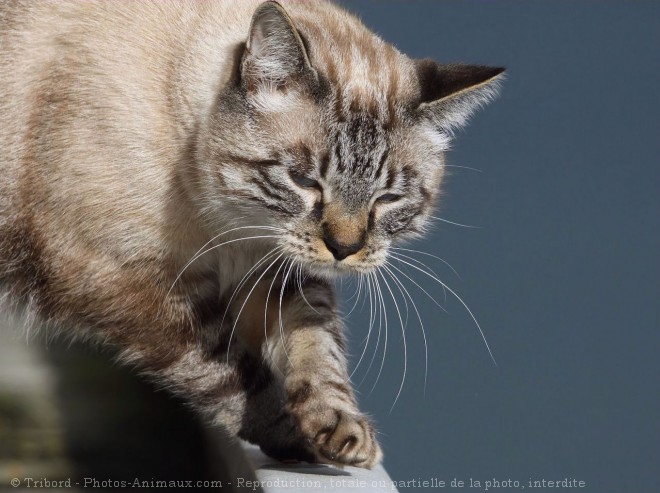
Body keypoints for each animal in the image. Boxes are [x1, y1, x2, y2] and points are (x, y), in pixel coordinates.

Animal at [1, 0, 506, 468]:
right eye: (304, 181)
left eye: (387, 199)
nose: (344, 248)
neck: (231, 222)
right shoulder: (140, 286)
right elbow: (233, 376)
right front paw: (296, 440)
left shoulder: (270, 268)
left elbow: (319, 343)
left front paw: (340, 428)